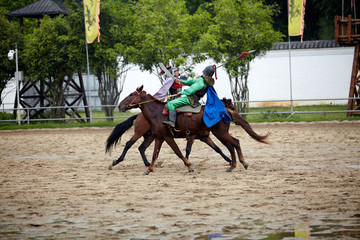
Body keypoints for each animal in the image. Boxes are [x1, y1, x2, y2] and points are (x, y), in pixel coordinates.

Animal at [116, 86, 270, 174]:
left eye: (131, 94)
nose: (120, 105)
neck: (157, 113)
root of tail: (225, 111)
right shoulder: (160, 138)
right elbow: (155, 154)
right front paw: (149, 169)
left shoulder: (169, 137)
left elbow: (179, 152)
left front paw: (189, 165)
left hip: (220, 133)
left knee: (235, 142)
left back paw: (241, 163)